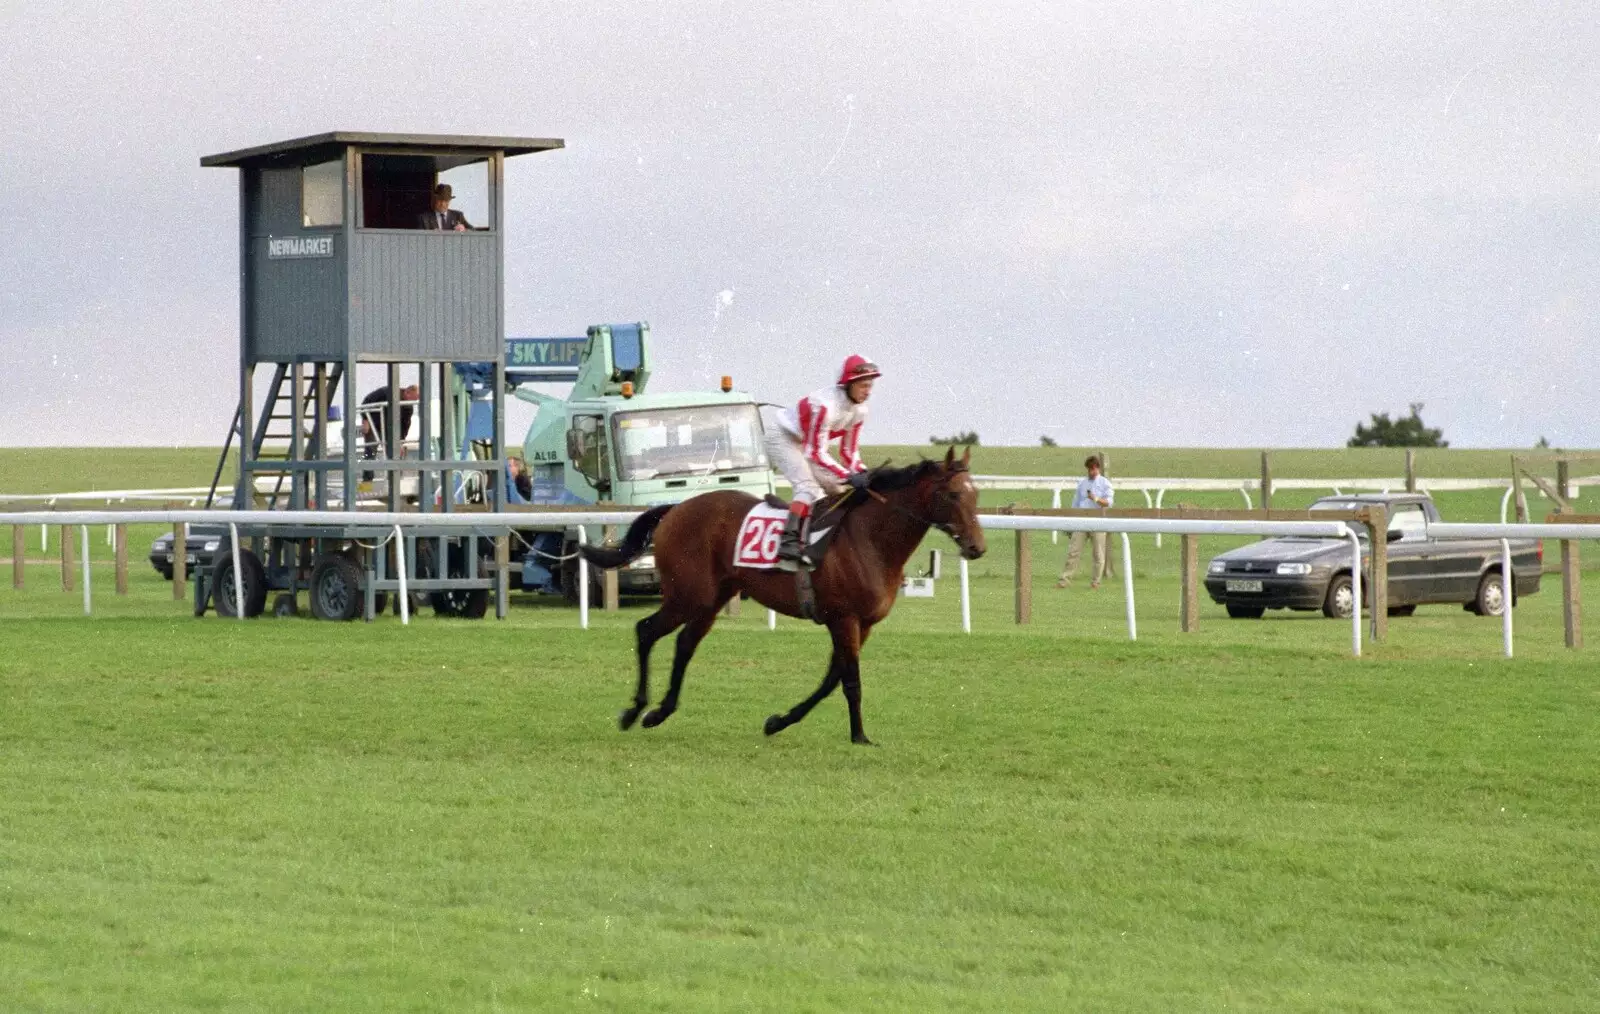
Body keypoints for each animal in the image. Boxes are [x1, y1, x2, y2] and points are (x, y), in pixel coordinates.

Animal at [582, 447, 985, 742]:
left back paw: (659, 712)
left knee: (684, 644)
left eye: (976, 493)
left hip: (711, 598)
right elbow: (850, 682)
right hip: (687, 595)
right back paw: (635, 710)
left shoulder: (863, 624)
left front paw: (778, 721)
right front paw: (859, 736)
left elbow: (831, 680)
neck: (869, 539)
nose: (977, 547)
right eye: (952, 494)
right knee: (646, 631)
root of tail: (677, 508)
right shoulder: (844, 619)